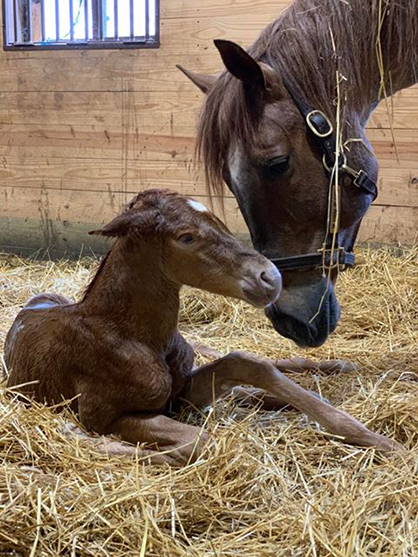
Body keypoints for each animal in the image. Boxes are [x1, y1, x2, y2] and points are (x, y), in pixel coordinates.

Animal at [4, 189, 402, 462]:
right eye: (186, 237)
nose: (270, 277)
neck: (130, 334)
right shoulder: (107, 415)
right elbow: (199, 442)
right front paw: (77, 435)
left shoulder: (180, 393)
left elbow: (248, 362)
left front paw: (378, 439)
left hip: (200, 349)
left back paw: (344, 366)